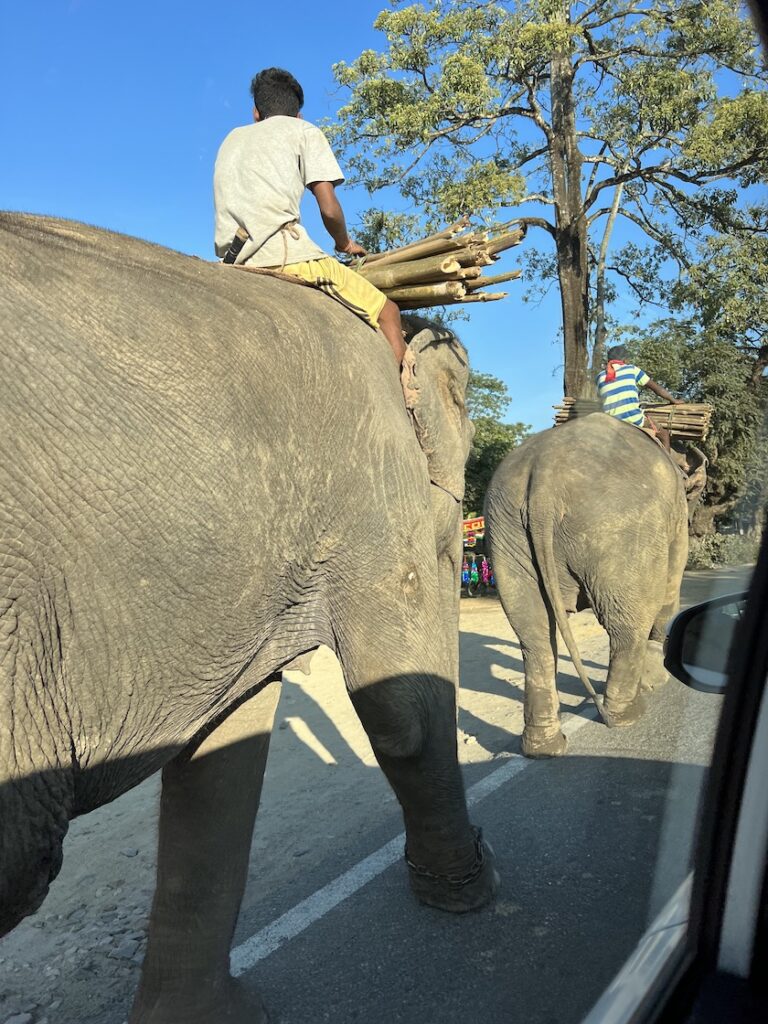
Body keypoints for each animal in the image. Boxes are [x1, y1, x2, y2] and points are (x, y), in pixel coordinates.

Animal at [484, 413, 689, 758]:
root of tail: (543, 482)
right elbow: (671, 587)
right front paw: (658, 678)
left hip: (506, 533)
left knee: (534, 636)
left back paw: (544, 749)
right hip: (618, 530)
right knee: (626, 626)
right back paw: (627, 715)